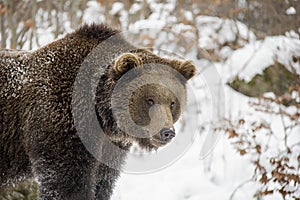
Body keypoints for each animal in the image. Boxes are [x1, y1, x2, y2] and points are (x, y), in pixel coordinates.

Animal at [0, 23, 197, 200]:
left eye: (172, 103)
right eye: (149, 100)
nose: (166, 132)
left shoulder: (110, 148)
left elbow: (102, 182)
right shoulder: (62, 125)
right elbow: (68, 184)